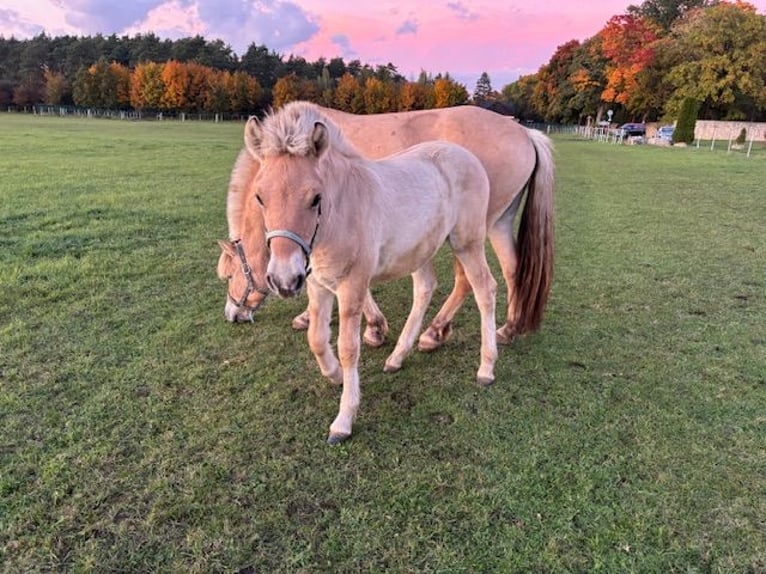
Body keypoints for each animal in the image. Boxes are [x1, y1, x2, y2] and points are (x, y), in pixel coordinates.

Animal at [217, 102, 555, 346]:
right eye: (260, 197)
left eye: (230, 274)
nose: (232, 313)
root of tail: (523, 131)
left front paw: (373, 328)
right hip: (499, 223)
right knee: (512, 269)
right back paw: (508, 328)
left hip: (470, 233)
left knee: (467, 279)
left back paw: (434, 331)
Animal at [243, 103, 498, 444]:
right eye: (260, 197)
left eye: (315, 198)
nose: (283, 281)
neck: (340, 213)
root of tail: (468, 156)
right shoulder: (317, 284)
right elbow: (316, 338)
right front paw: (335, 375)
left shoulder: (352, 286)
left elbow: (348, 348)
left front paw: (343, 420)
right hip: (420, 249)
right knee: (425, 288)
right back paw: (397, 358)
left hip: (467, 242)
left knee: (485, 289)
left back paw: (486, 369)